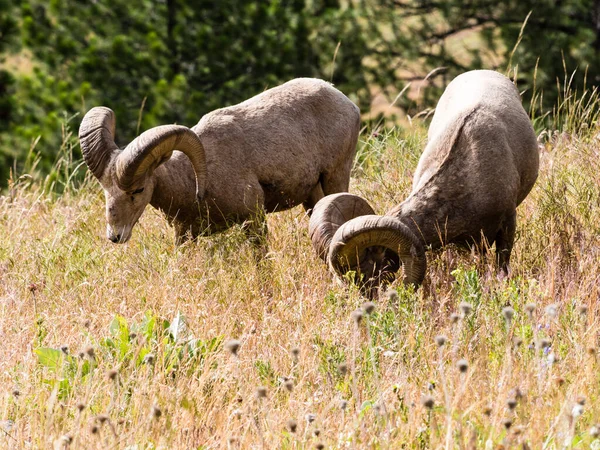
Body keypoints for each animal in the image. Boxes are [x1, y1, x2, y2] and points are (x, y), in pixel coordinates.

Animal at [79, 79, 360, 244]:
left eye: (137, 190)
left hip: (335, 177)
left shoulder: (253, 220)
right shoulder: (185, 235)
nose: (115, 236)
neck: (193, 181)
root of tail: (346, 102)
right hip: (311, 197)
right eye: (106, 190)